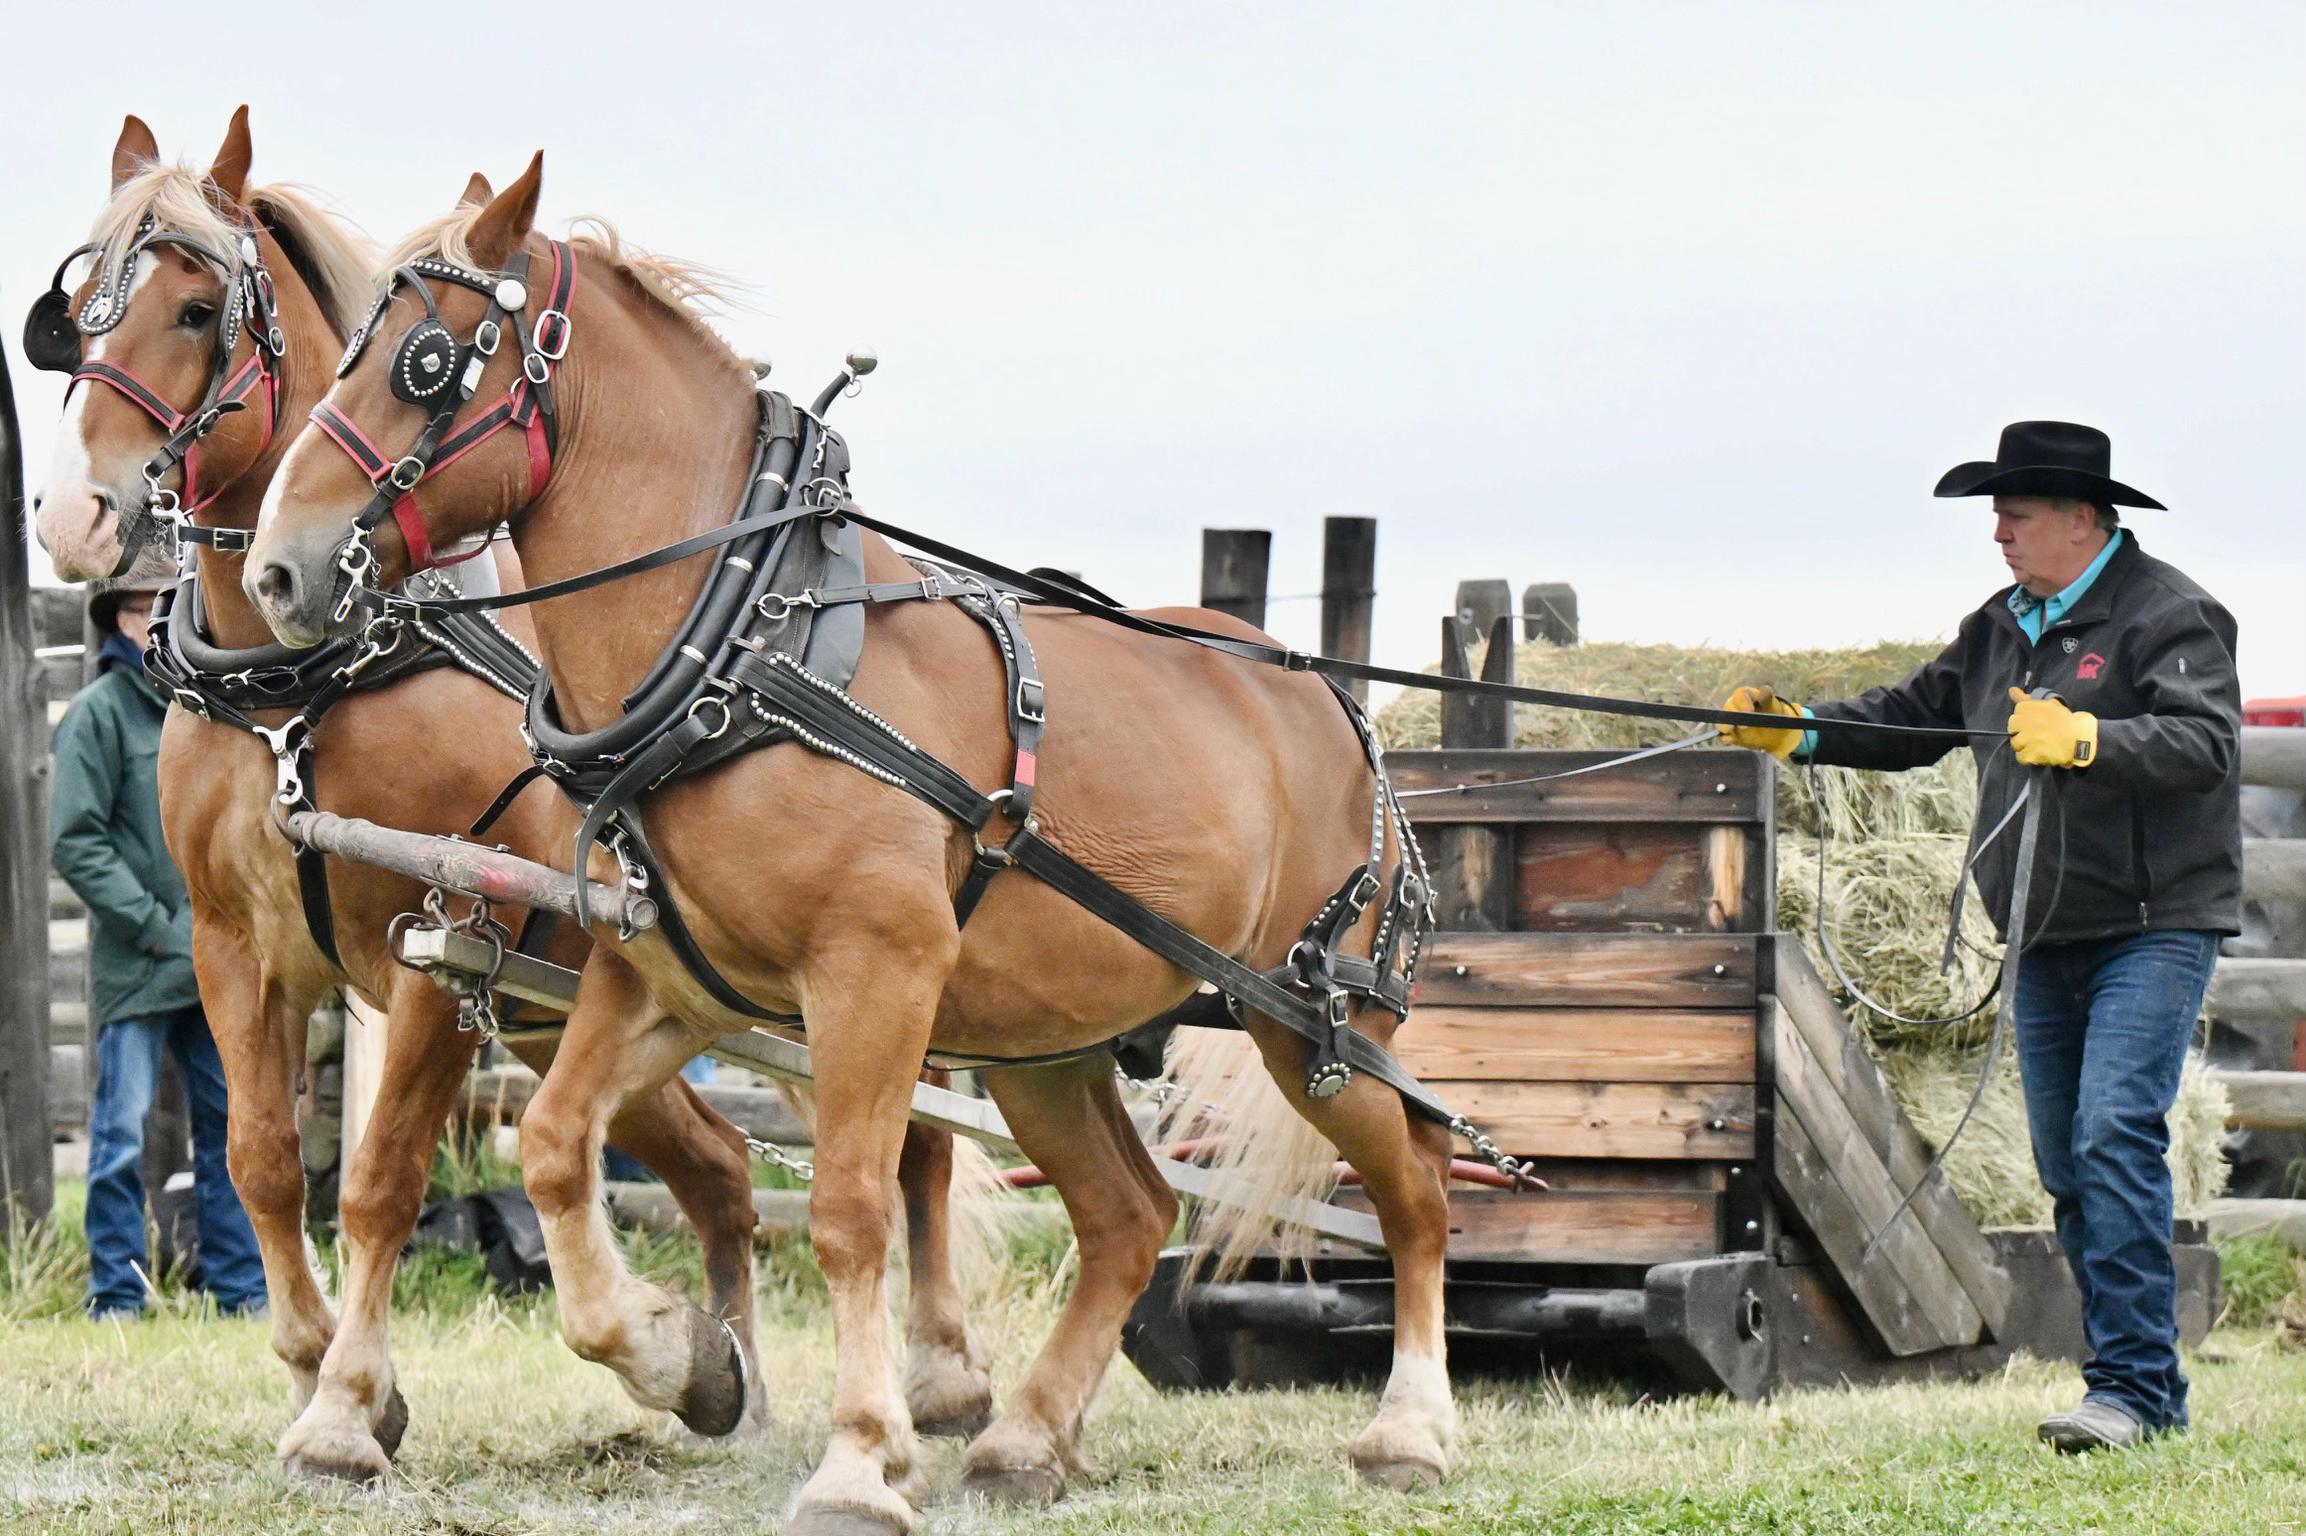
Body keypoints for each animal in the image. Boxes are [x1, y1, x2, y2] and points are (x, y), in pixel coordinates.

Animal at [34, 114, 993, 1483]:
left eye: (197, 307)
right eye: (75, 317)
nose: (72, 514)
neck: (303, 686)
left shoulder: (443, 934)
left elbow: (378, 1177)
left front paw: (346, 1408)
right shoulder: (230, 946)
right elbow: (262, 1163)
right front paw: (316, 1372)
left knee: (916, 1140)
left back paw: (941, 1373)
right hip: (598, 1008)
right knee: (717, 1170)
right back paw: (725, 1375)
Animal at [244, 151, 1459, 1533]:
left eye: (427, 361)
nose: (276, 572)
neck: (743, 649)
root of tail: (1330, 704)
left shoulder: (873, 975)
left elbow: (846, 1211)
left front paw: (858, 1457)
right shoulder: (665, 981)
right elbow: (554, 1149)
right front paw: (681, 1359)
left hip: (1315, 1021)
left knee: (1418, 1186)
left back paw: (1409, 1431)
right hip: (1047, 1044)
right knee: (1127, 1211)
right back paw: (1027, 1438)